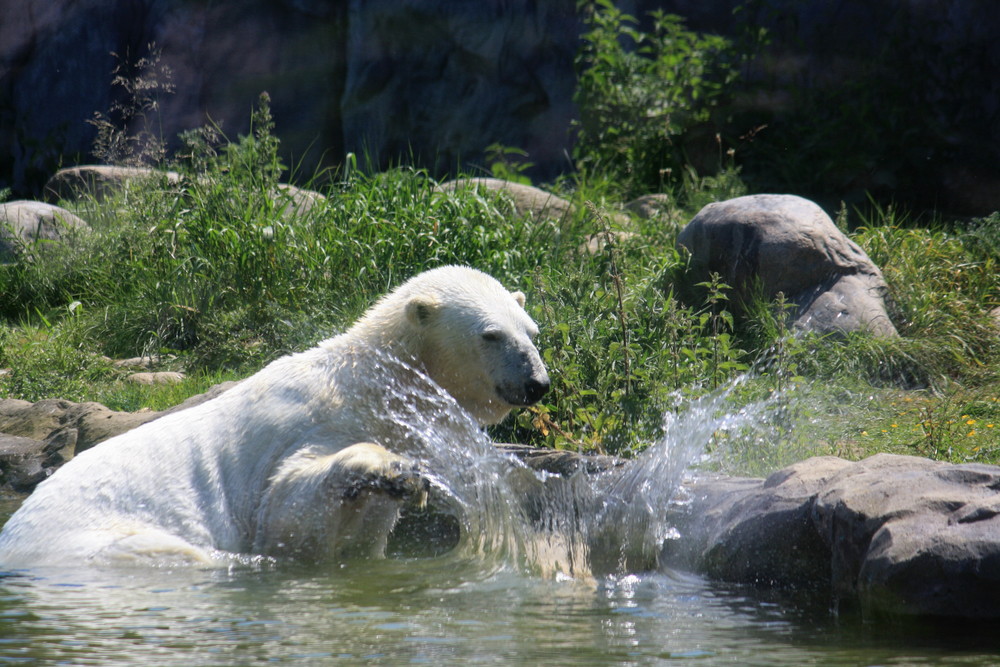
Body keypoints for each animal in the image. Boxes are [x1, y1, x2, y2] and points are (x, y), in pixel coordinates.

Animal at [0, 266, 552, 568]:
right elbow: (287, 510)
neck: (370, 385)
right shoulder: (306, 425)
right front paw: (391, 468)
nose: (537, 383)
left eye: (531, 330)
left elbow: (355, 538)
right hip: (96, 540)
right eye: (490, 335)